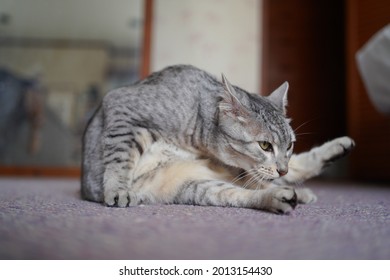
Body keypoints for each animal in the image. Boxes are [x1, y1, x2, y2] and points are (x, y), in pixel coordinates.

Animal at [80, 65, 354, 214]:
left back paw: (333, 154)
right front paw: (118, 189)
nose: (281, 169)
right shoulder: (122, 106)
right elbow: (120, 157)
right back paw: (283, 195)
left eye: (289, 145)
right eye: (265, 145)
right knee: (248, 193)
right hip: (195, 186)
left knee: (266, 183)